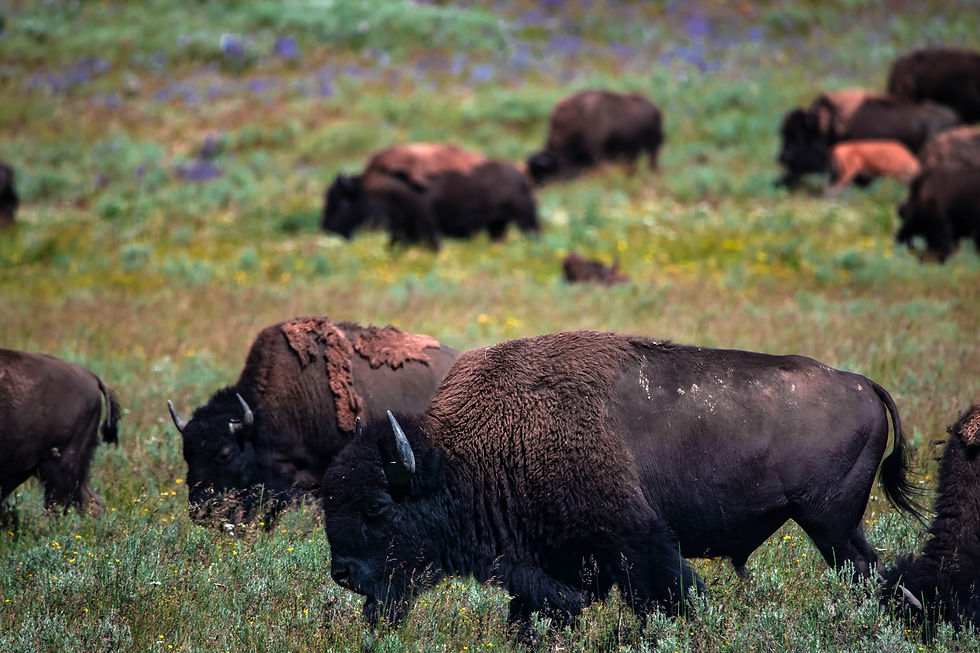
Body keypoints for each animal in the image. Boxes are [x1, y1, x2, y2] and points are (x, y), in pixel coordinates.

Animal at [322, 330, 921, 631]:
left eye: (376, 508)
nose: (342, 574)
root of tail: (861, 383)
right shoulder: (554, 564)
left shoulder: (637, 544)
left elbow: (670, 599)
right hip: (839, 529)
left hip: (828, 525)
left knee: (873, 578)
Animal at [527, 89, 663, 185]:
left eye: (543, 172)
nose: (538, 187)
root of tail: (656, 108)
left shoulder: (596, 155)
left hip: (653, 148)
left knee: (652, 162)